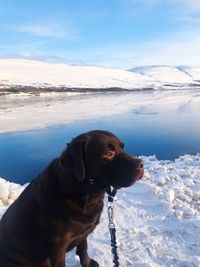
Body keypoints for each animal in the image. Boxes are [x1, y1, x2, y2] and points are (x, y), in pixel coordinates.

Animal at [0, 131, 144, 266]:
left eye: (122, 148)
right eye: (108, 153)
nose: (141, 163)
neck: (82, 193)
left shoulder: (82, 233)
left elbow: (83, 249)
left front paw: (87, 263)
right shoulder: (57, 247)